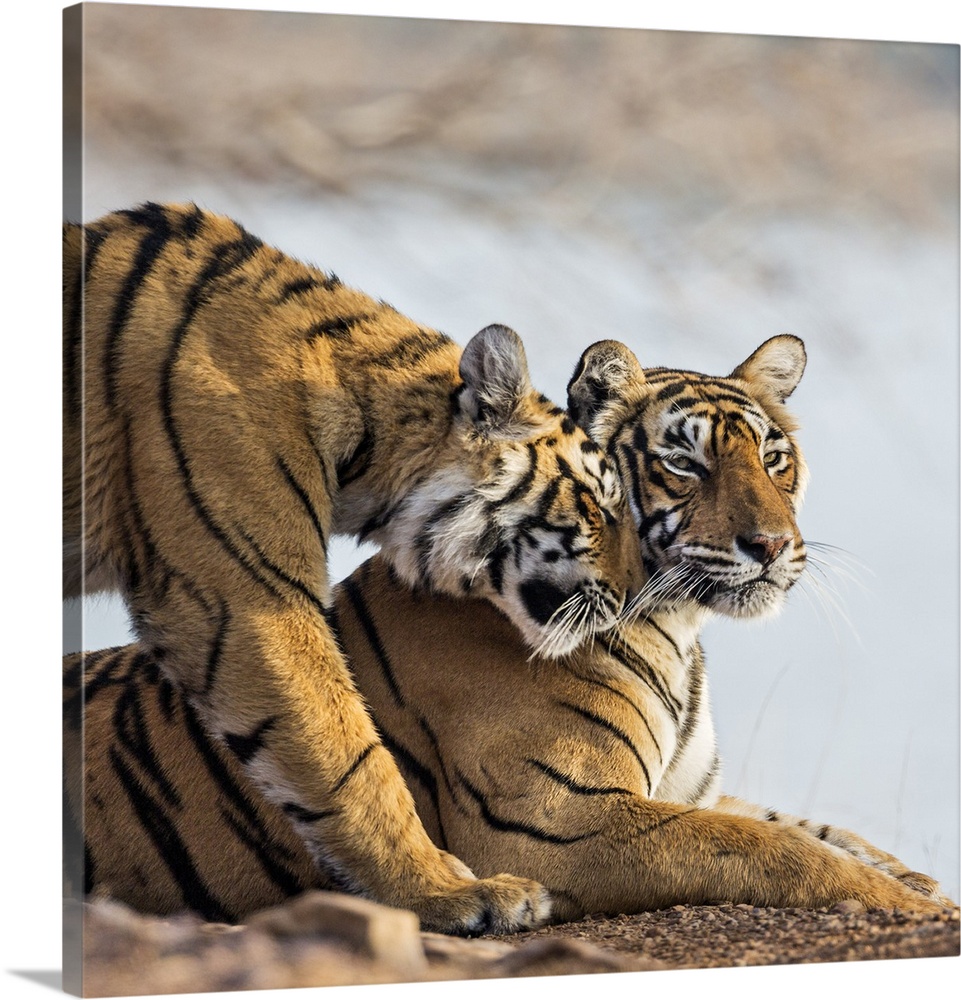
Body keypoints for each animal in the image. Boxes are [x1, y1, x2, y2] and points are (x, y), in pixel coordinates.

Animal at [63, 334, 948, 920]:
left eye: (772, 459)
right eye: (683, 462)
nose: (769, 546)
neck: (677, 629)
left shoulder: (684, 790)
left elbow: (815, 826)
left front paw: (913, 878)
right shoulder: (549, 823)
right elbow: (771, 847)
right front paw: (910, 905)